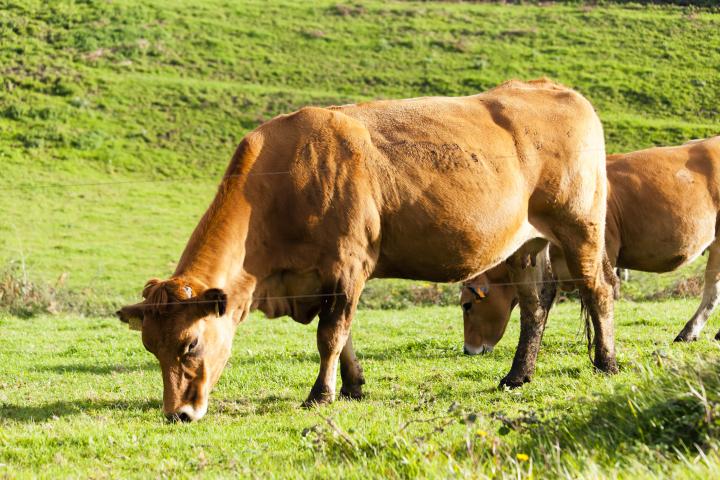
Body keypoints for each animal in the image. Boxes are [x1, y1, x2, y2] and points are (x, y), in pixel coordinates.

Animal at [117, 79, 616, 422]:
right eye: (151, 347)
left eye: (190, 343)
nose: (178, 413)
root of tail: (553, 88)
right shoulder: (327, 277)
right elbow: (345, 335)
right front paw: (353, 386)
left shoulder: (347, 263)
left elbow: (330, 335)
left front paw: (320, 394)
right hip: (526, 244)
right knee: (536, 304)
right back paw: (517, 375)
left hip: (580, 226)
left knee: (599, 290)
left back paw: (607, 362)